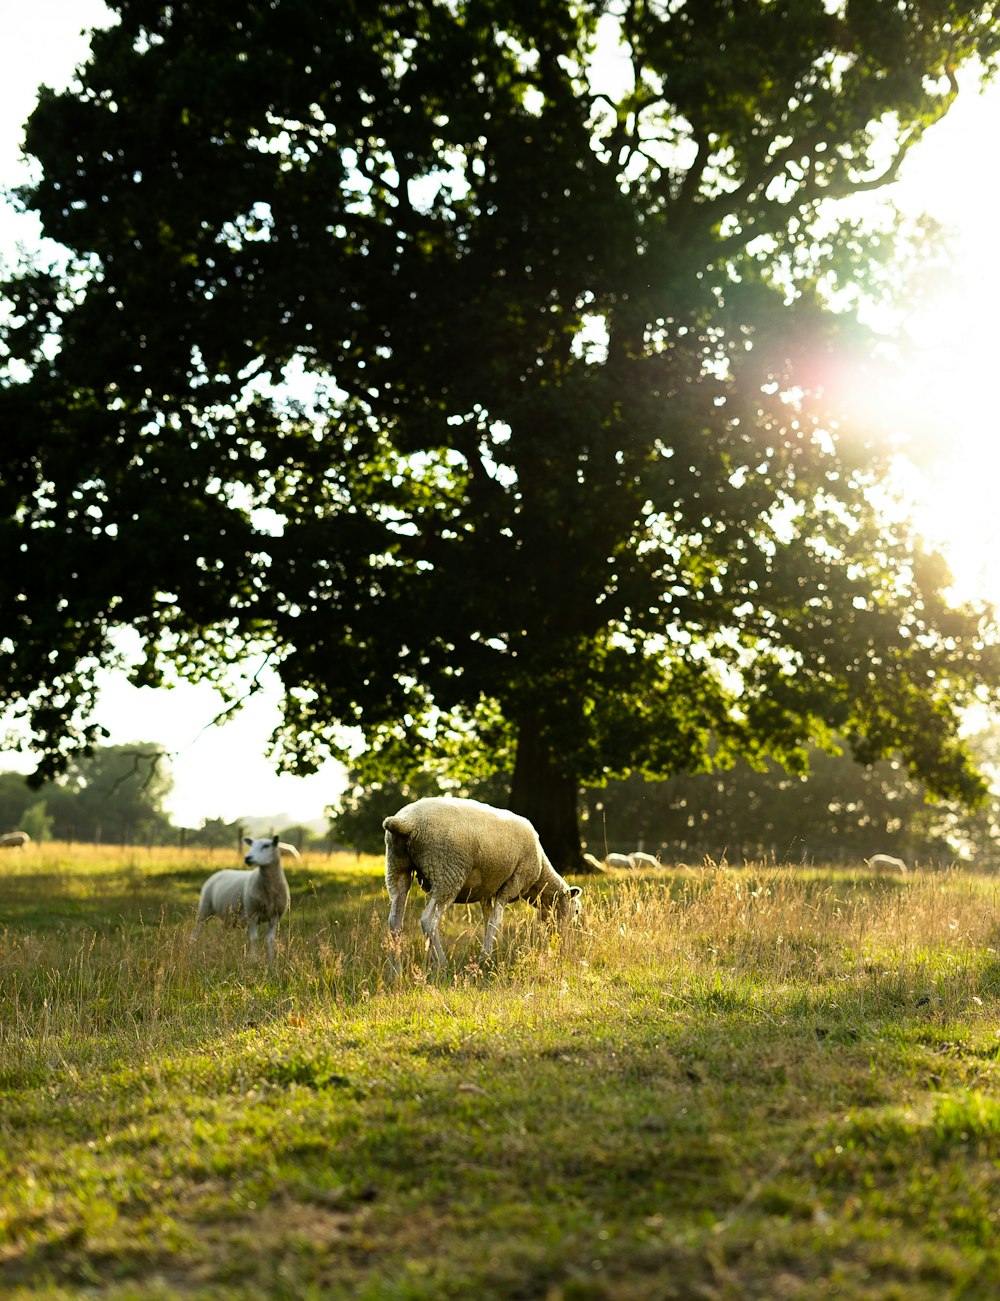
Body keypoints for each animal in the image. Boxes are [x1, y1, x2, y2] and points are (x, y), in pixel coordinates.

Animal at [382, 791, 585, 967]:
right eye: (576, 911)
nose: (570, 937)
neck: (539, 880)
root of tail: (406, 822)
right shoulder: (512, 883)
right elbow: (496, 921)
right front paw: (486, 958)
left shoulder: (487, 891)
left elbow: (488, 921)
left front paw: (490, 954)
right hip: (447, 871)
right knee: (428, 921)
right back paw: (441, 964)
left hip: (396, 867)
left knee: (394, 923)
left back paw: (395, 969)